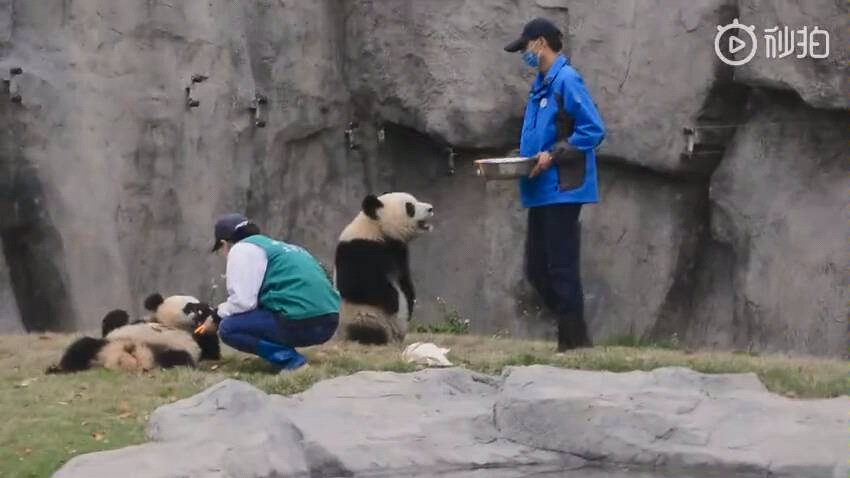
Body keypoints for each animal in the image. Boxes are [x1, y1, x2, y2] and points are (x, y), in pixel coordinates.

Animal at [44, 292, 222, 374]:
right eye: (190, 306)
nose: (200, 312)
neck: (169, 325)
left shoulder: (196, 340)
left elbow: (211, 353)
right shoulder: (140, 322)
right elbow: (114, 322)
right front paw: (121, 313)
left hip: (167, 352)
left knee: (178, 359)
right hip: (107, 344)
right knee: (82, 347)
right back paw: (58, 370)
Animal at [332, 192, 434, 346]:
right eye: (410, 207)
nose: (430, 208)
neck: (377, 229)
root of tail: (393, 337)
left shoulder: (398, 252)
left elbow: (405, 282)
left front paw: (409, 305)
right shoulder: (358, 249)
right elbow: (355, 284)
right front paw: (394, 301)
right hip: (362, 316)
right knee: (366, 331)